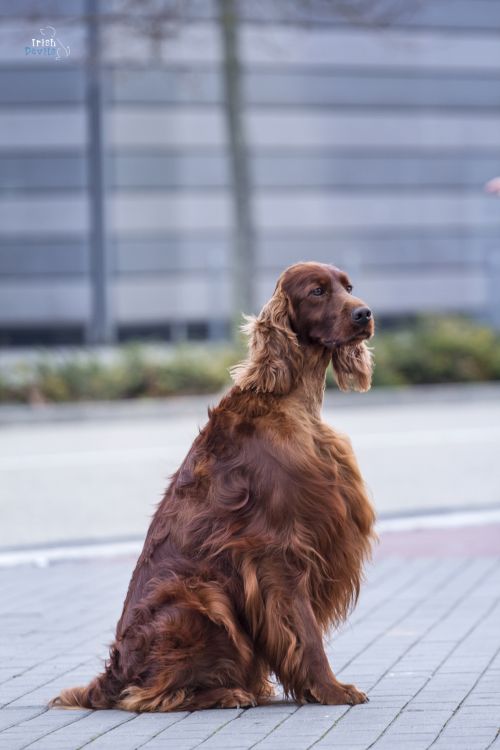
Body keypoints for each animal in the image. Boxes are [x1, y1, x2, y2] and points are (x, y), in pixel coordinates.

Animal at [53, 262, 376, 712]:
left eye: (348, 287)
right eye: (316, 291)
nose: (364, 314)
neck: (292, 404)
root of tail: (113, 673)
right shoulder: (278, 549)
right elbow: (305, 631)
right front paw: (330, 689)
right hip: (202, 595)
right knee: (149, 694)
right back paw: (227, 693)